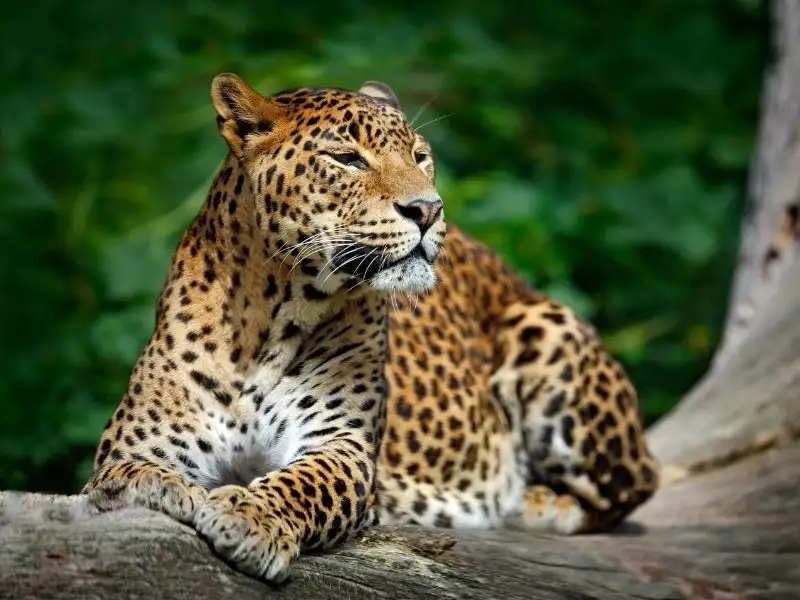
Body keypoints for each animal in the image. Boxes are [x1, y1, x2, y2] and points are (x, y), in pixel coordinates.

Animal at [82, 72, 446, 583]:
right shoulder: (133, 446)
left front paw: (250, 517)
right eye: (347, 159)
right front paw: (166, 491)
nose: (429, 209)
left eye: (419, 156)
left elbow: (306, 482)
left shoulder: (342, 443)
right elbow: (130, 475)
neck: (272, 321)